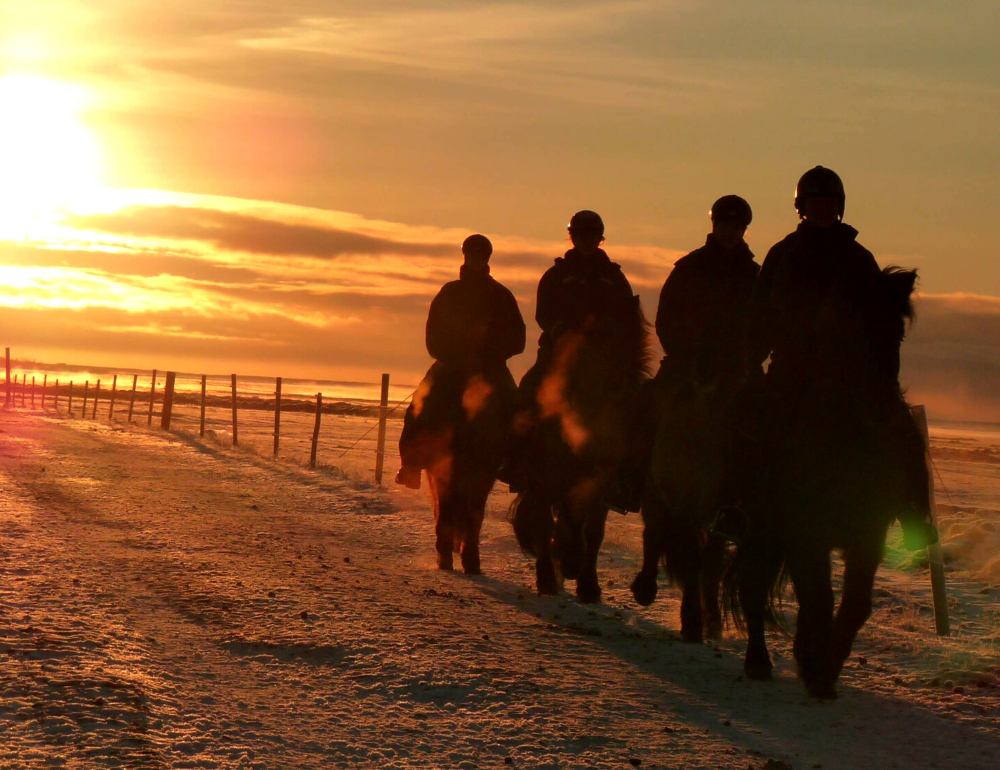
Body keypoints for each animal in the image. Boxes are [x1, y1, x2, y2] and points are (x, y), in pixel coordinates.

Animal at [724, 268, 924, 700]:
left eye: (897, 333)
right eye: (851, 330)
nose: (884, 412)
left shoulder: (868, 535)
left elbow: (854, 604)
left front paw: (826, 666)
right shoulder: (806, 532)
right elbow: (818, 597)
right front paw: (815, 668)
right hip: (762, 529)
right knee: (752, 584)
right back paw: (759, 662)